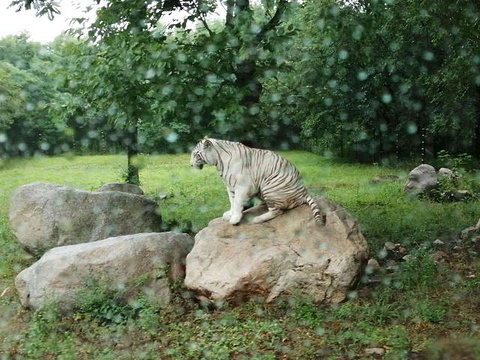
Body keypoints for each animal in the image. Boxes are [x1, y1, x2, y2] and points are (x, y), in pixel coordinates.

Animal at [189, 138, 324, 225]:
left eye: (196, 154)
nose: (190, 165)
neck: (219, 162)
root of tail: (303, 192)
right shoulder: (230, 186)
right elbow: (232, 201)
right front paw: (230, 214)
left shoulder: (242, 186)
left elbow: (237, 203)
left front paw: (235, 219)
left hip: (270, 187)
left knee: (277, 211)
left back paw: (257, 219)